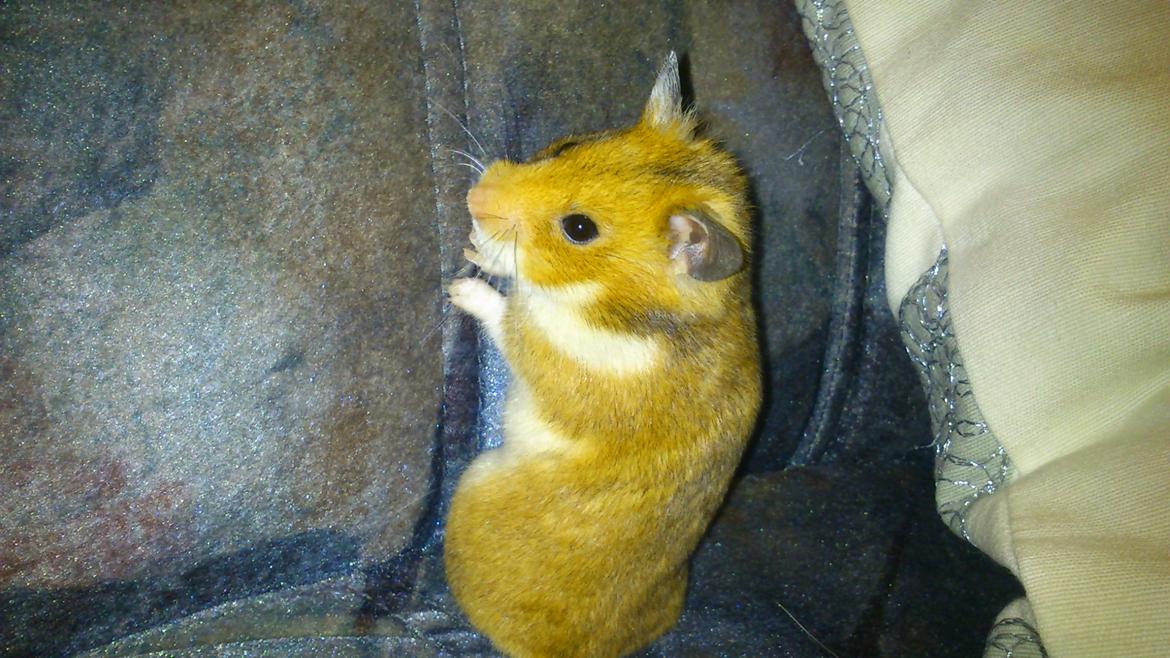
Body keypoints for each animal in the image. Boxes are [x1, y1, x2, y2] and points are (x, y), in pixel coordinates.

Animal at [444, 53, 761, 658]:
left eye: (579, 228)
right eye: (566, 148)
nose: (473, 199)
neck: (610, 302)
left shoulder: (552, 353)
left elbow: (511, 315)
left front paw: (460, 285)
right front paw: (477, 247)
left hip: (475, 480)